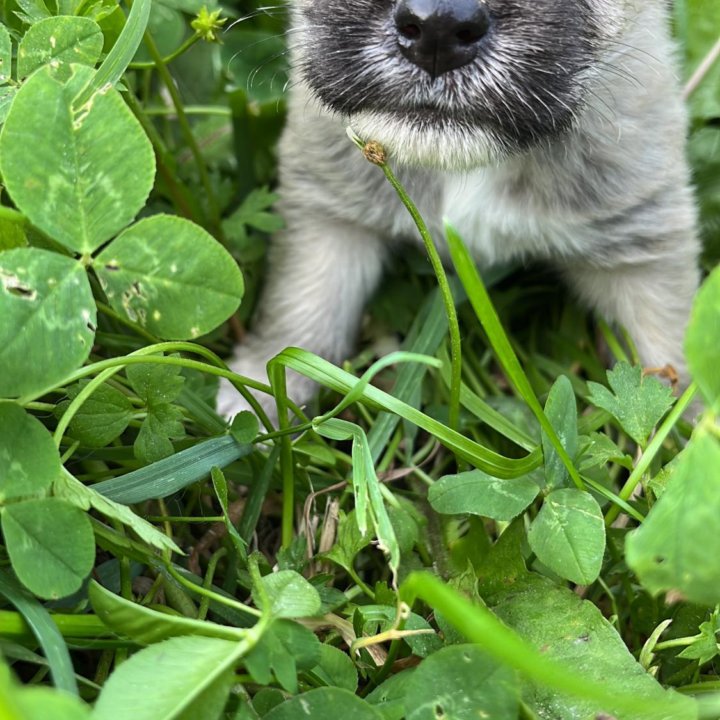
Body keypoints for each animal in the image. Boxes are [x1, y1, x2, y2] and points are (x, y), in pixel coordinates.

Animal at [218, 0, 696, 420]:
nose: (438, 29)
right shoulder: (328, 212)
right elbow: (304, 300)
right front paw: (265, 389)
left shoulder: (644, 242)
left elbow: (668, 346)